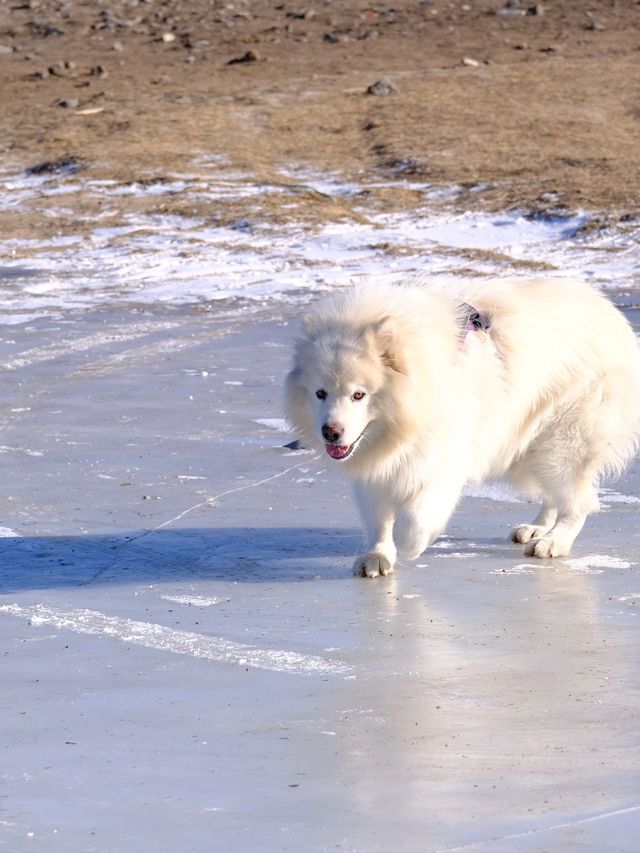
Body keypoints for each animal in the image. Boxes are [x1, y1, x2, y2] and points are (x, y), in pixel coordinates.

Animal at [286, 280, 640, 580]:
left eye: (359, 394)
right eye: (320, 393)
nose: (330, 432)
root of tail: (610, 313)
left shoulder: (441, 459)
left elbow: (415, 518)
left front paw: (408, 545)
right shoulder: (374, 468)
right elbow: (378, 519)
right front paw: (377, 557)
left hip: (562, 443)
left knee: (579, 501)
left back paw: (553, 542)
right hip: (534, 446)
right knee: (557, 495)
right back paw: (537, 528)